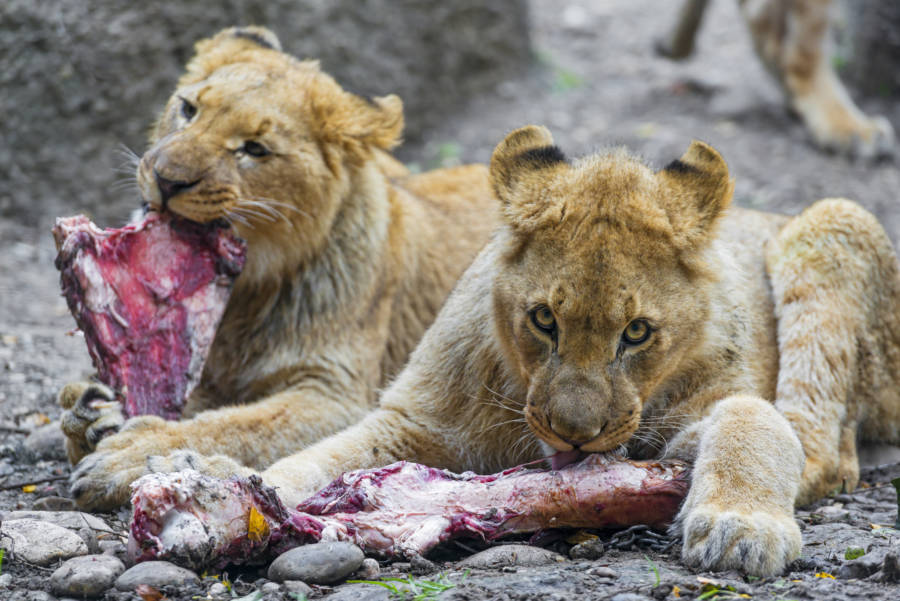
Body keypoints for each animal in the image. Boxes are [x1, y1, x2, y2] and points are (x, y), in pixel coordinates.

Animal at [61, 25, 500, 508]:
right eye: (188, 109)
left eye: (254, 149)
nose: (166, 179)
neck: (246, 292)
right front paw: (91, 409)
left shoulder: (334, 394)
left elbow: (239, 424)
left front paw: (137, 451)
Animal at [248, 125, 900, 576]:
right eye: (544, 320)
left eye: (636, 332)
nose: (575, 436)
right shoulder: (410, 420)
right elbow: (315, 460)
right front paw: (248, 493)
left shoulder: (710, 408)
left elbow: (752, 417)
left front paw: (742, 529)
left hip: (832, 219)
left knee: (822, 450)